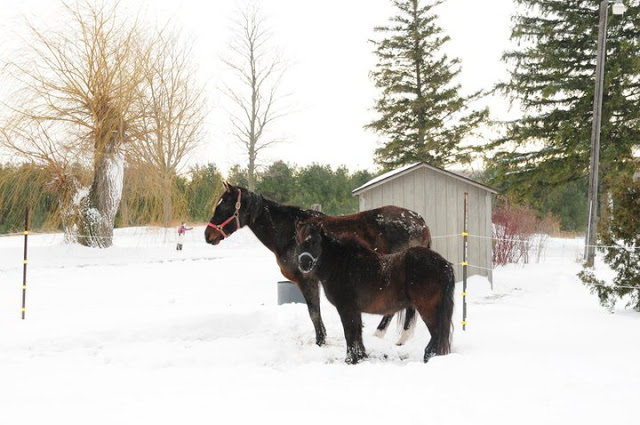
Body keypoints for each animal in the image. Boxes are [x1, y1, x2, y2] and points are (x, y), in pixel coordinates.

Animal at [204, 182, 431, 346]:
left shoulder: (306, 280)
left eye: (225, 206)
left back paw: (398, 338)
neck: (290, 233)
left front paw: (320, 341)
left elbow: (314, 313)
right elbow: (316, 312)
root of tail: (419, 221)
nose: (208, 235)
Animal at [295, 218, 455, 364]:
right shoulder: (354, 311)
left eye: (314, 241)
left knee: (436, 337)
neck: (342, 265)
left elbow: (350, 335)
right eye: (298, 242)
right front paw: (359, 357)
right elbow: (357, 335)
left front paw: (350, 360)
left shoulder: (346, 309)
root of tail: (444, 265)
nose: (304, 264)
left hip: (428, 310)